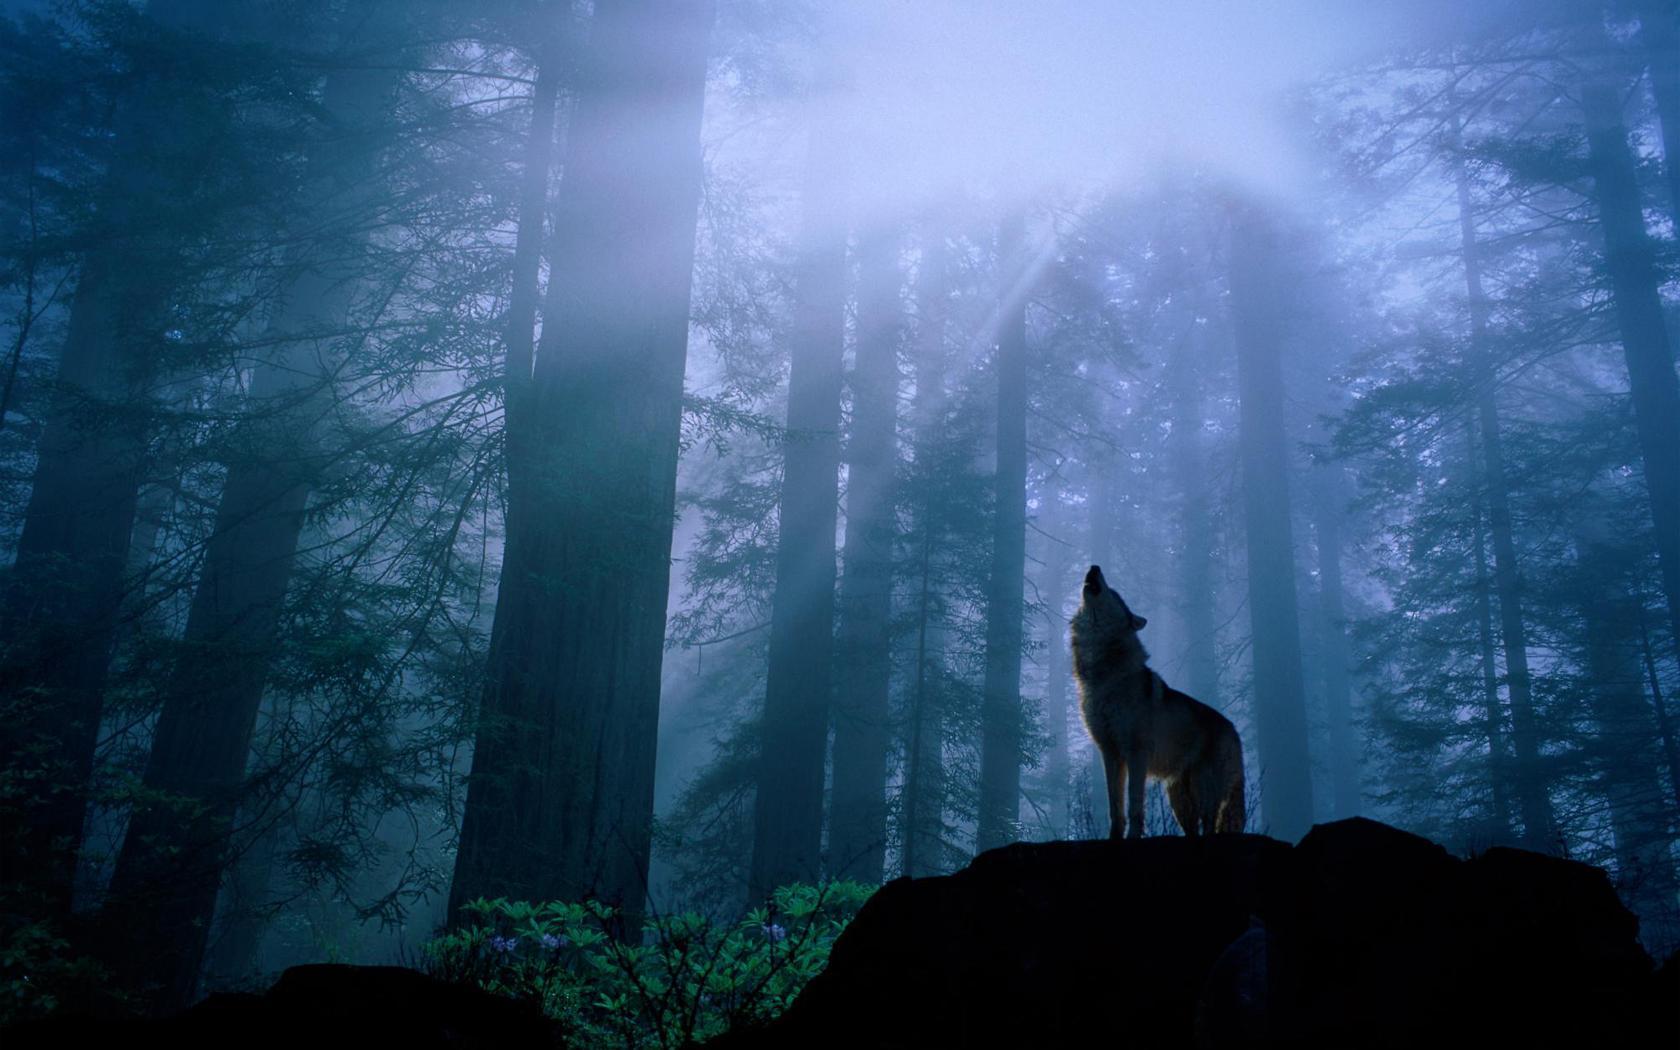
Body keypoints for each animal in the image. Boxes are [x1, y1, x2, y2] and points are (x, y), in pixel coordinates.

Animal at [1071, 565, 1245, 839]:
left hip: (1205, 792)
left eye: (1114, 593)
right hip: (1179, 800)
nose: (1094, 567)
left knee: (1209, 825)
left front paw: (1132, 837)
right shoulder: (1110, 753)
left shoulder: (1136, 754)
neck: (1104, 674)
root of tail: (1234, 729)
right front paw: (1114, 838)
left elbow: (1134, 806)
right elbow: (1115, 807)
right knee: (1194, 830)